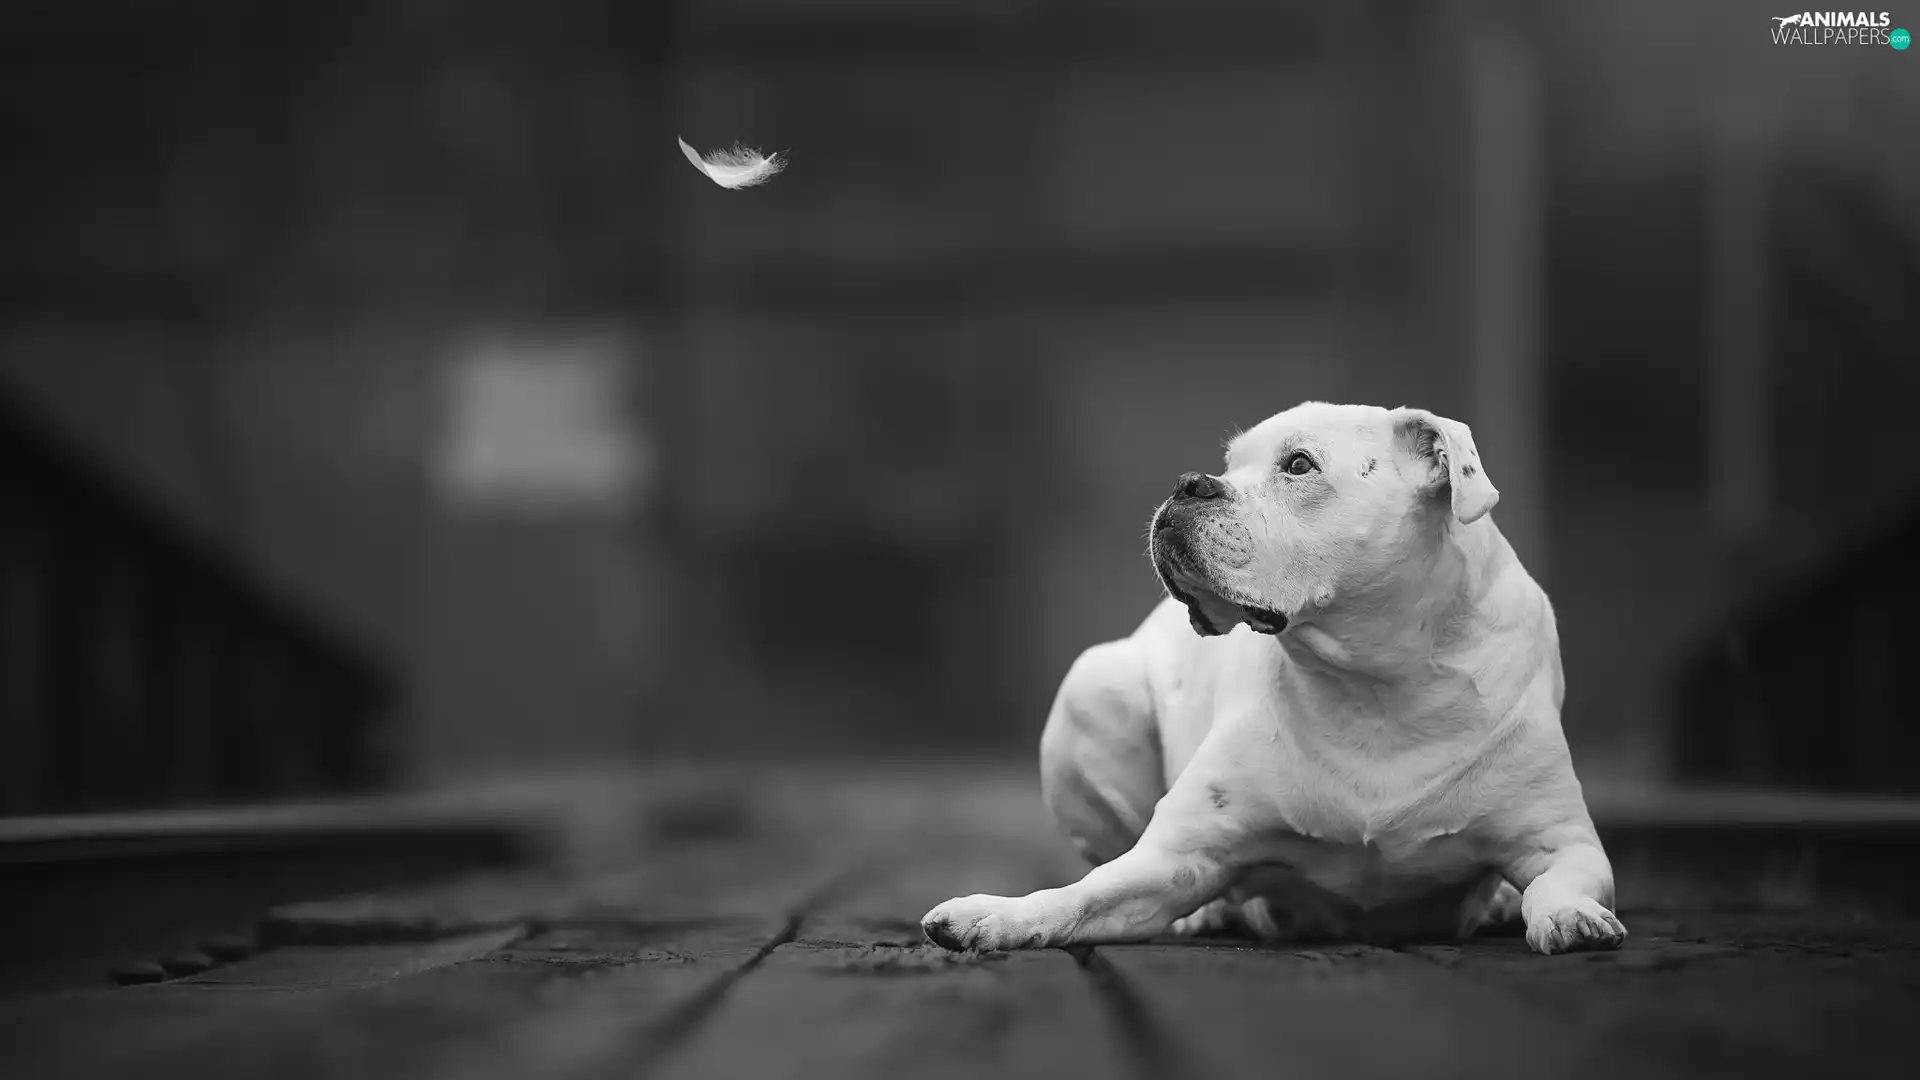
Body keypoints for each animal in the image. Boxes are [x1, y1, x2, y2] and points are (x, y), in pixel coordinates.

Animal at [921, 401, 1628, 949]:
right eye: (1228, 464)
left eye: (1299, 466)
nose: (1190, 482)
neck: (1377, 685)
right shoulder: (1175, 857)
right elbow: (1082, 893)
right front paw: (996, 916)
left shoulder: (1564, 842)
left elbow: (1559, 881)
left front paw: (1568, 914)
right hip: (1093, 688)